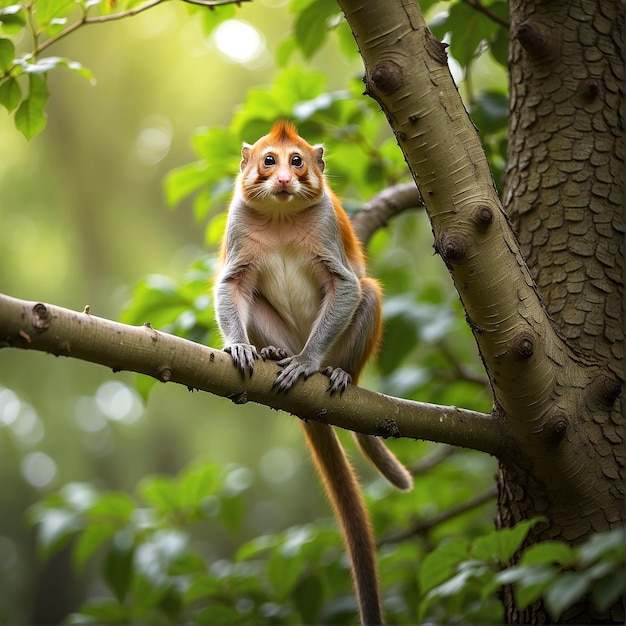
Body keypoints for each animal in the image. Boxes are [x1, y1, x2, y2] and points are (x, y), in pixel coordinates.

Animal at [212, 119, 412, 620]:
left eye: (297, 161)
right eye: (270, 160)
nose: (285, 179)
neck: (283, 216)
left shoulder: (324, 222)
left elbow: (346, 284)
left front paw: (306, 363)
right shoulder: (237, 222)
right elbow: (232, 284)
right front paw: (241, 346)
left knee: (367, 291)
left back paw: (335, 374)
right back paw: (272, 355)